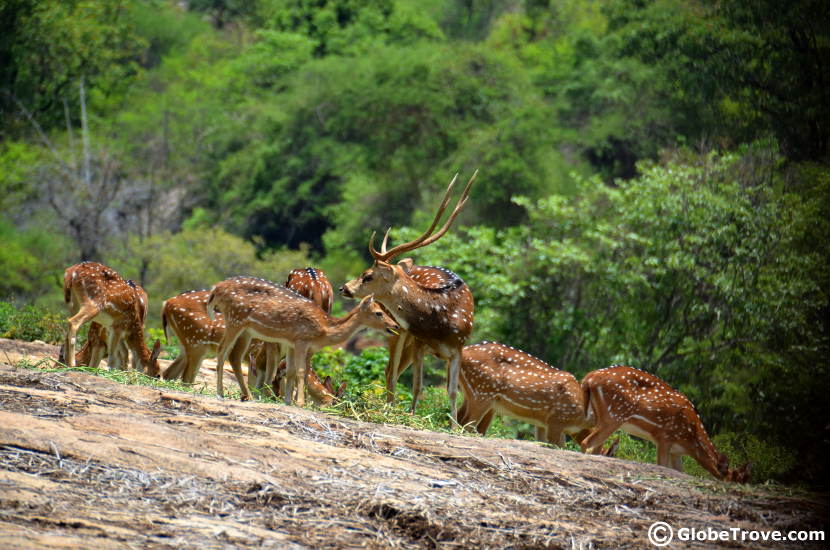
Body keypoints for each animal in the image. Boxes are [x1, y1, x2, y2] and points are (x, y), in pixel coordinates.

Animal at [210, 278, 402, 408]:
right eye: (378, 313)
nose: (395, 325)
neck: (325, 329)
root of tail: (215, 290)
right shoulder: (301, 339)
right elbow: (301, 371)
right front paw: (300, 402)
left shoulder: (292, 343)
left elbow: (291, 372)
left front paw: (288, 401)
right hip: (235, 319)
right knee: (222, 351)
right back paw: (220, 393)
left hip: (246, 330)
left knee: (235, 357)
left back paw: (247, 396)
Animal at [340, 172, 480, 418]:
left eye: (367, 276)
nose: (345, 288)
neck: (441, 321)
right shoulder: (419, 342)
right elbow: (417, 386)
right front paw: (412, 415)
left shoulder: (458, 348)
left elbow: (452, 392)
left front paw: (453, 424)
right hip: (396, 331)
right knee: (390, 371)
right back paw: (389, 408)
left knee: (392, 371)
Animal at [458, 342, 596, 446]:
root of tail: (464, 351)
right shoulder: (556, 420)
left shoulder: (542, 424)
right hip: (483, 392)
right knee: (467, 423)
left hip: (471, 394)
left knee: (460, 417)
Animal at [580, 368, 752, 486]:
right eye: (736, 480)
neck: (690, 438)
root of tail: (589, 378)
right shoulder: (664, 437)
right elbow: (661, 465)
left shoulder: (676, 451)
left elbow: (679, 471)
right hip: (614, 417)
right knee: (586, 442)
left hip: (599, 416)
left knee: (595, 447)